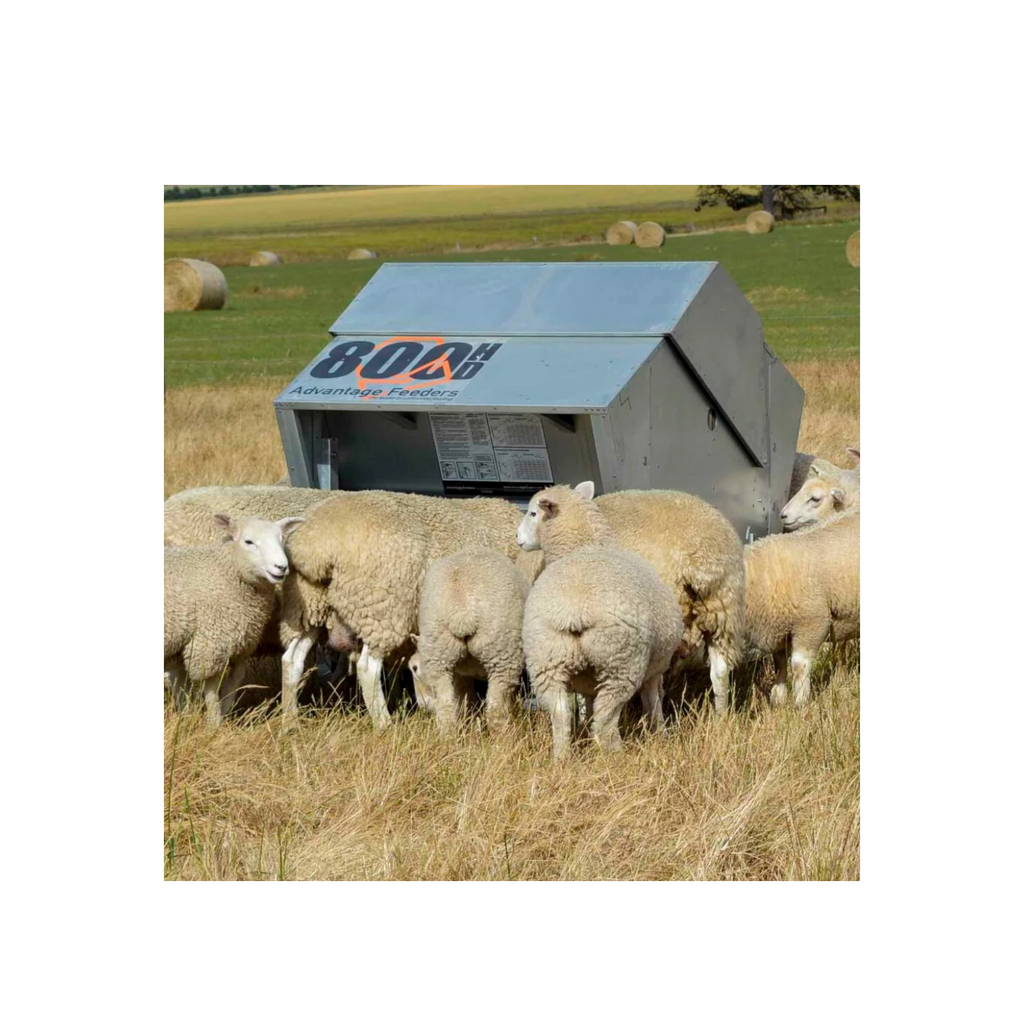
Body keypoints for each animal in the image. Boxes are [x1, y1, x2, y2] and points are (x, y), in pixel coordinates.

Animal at [161, 514, 304, 727]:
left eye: (281, 539)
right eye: (249, 542)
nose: (281, 567)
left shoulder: (234, 643)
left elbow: (235, 678)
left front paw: (194, 717)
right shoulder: (210, 644)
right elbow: (211, 688)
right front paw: (214, 724)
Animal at [407, 548, 529, 735]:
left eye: (414, 668)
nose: (423, 705)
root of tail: (461, 612)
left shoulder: (459, 674)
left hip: (440, 654)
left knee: (446, 707)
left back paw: (449, 738)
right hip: (501, 651)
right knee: (495, 708)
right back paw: (504, 738)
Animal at [517, 481, 684, 760]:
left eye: (532, 513)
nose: (517, 538)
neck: (585, 544)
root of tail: (574, 611)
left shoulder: (588, 680)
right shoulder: (655, 666)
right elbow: (652, 701)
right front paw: (660, 733)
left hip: (546, 659)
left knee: (561, 714)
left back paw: (562, 758)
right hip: (620, 663)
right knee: (605, 721)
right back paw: (617, 755)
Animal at [742, 511, 862, 707]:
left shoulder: (812, 623)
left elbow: (799, 667)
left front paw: (800, 703)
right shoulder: (779, 631)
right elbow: (780, 665)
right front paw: (778, 699)